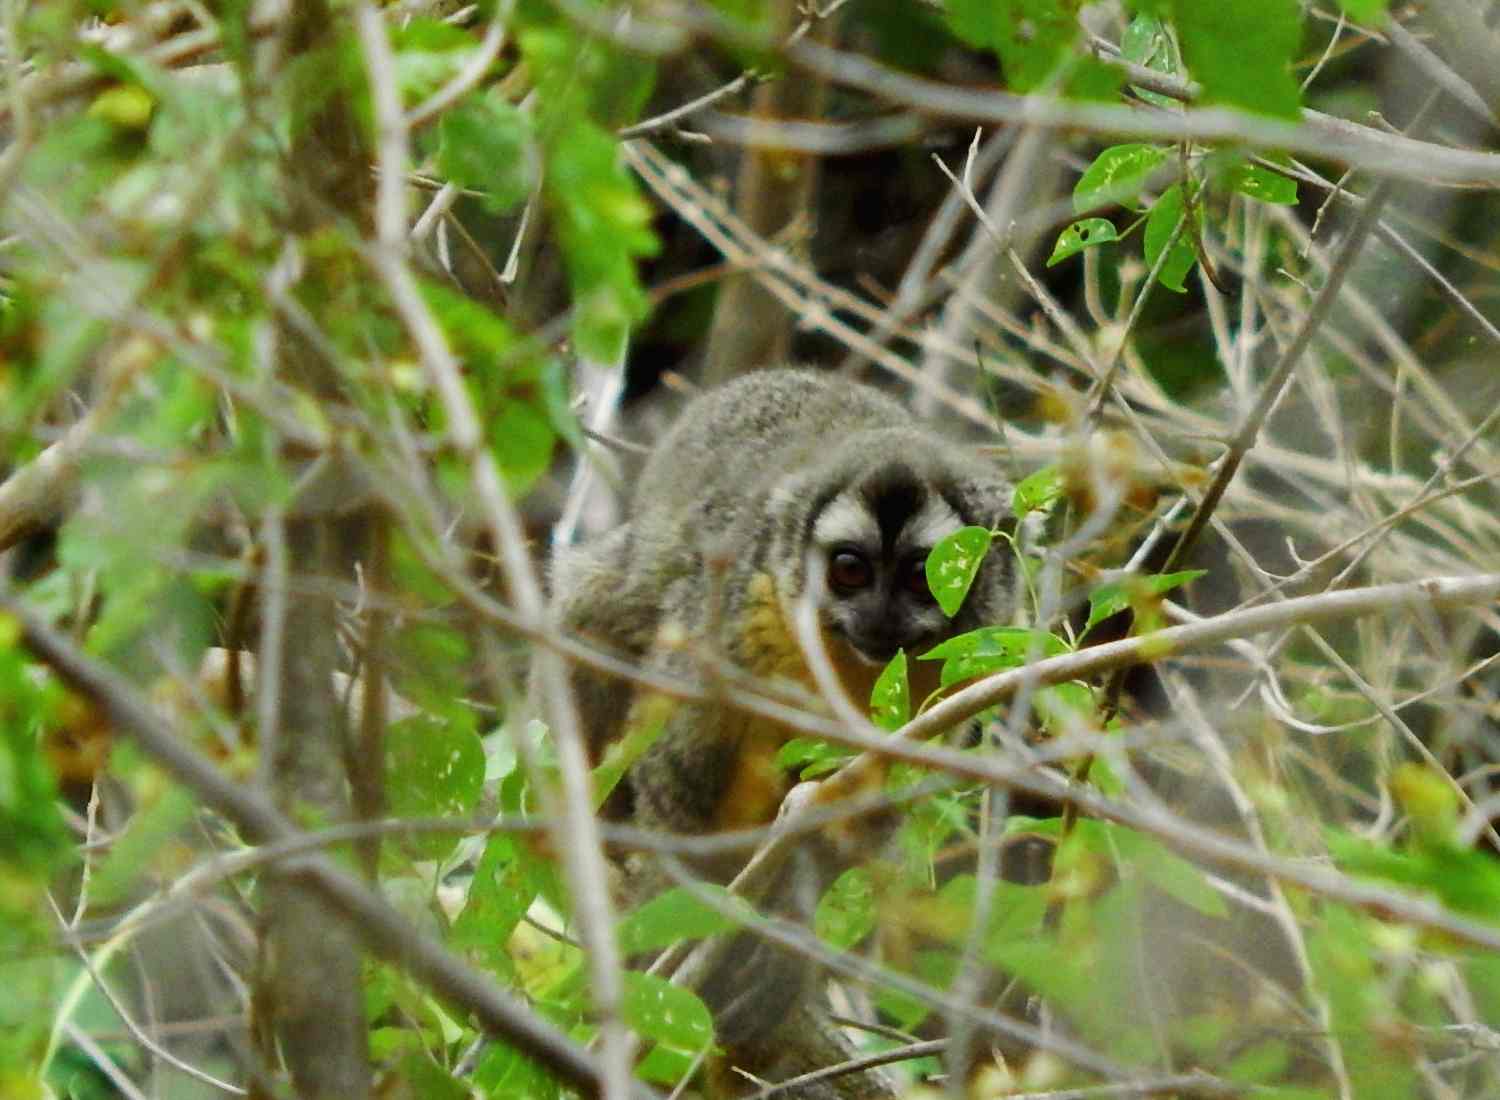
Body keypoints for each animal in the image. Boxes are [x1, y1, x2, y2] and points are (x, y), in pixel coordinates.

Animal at [546, 366, 1014, 1092]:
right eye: (849, 570)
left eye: (921, 578)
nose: (879, 619)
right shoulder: (747, 601)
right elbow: (681, 760)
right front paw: (674, 911)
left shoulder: (963, 673)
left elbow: (864, 815)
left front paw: (783, 940)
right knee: (600, 602)